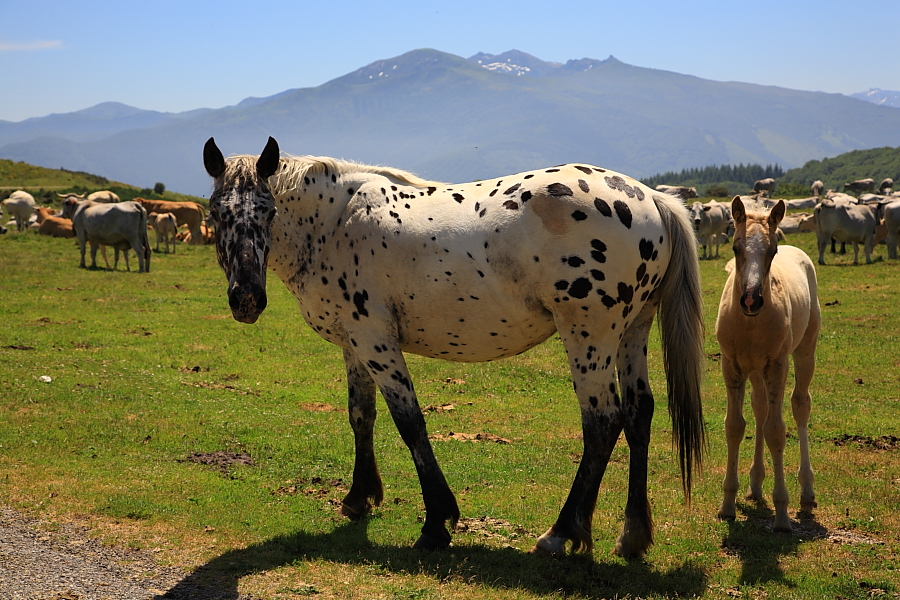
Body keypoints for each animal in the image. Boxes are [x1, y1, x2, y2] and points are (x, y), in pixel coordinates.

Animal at [200, 136, 708, 556]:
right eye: (216, 213)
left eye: (268, 212)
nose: (247, 299)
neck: (334, 223)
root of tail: (652, 198)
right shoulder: (354, 345)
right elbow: (361, 415)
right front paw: (359, 497)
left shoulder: (375, 341)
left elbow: (409, 423)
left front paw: (436, 522)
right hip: (632, 333)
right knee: (639, 414)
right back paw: (633, 535)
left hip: (589, 337)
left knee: (603, 422)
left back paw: (561, 533)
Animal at [712, 198, 820, 536]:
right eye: (735, 247)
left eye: (772, 251)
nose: (751, 299)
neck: (750, 325)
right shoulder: (732, 365)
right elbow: (735, 426)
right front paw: (728, 505)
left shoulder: (776, 365)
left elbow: (776, 430)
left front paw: (782, 515)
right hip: (755, 370)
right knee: (760, 407)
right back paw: (756, 483)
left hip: (804, 352)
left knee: (800, 406)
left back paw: (806, 490)